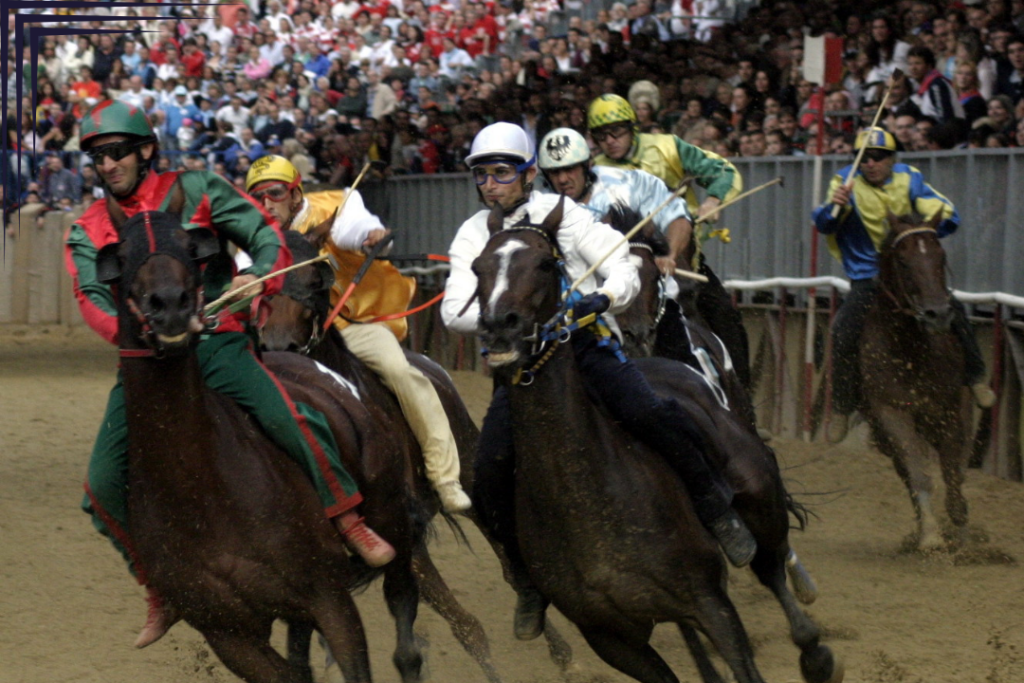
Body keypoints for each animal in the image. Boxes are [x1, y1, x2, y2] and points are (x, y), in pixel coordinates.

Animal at [860, 214, 970, 548]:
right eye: (904, 261)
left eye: (940, 257)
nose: (938, 314)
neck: (911, 351)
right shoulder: (891, 412)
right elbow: (917, 472)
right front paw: (931, 537)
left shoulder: (949, 412)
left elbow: (951, 471)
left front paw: (961, 532)